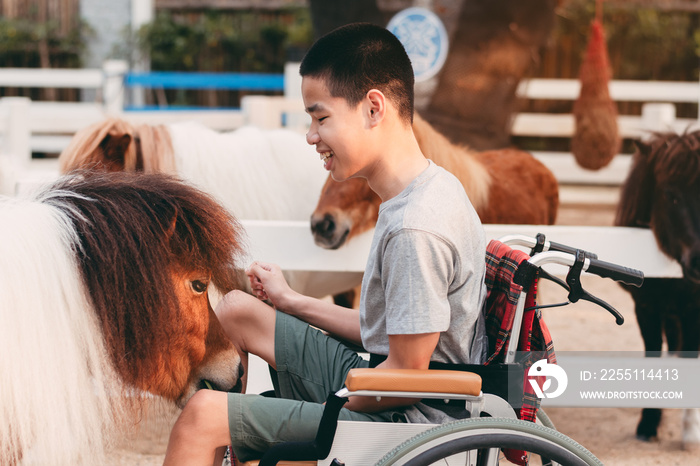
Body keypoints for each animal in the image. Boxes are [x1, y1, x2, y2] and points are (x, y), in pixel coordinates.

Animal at [616, 129, 700, 450]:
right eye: (670, 195)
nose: (699, 261)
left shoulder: (693, 311)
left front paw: (691, 431)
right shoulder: (647, 308)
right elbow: (654, 354)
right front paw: (649, 423)